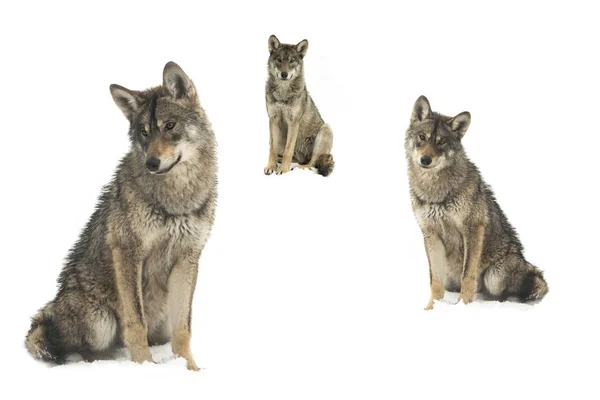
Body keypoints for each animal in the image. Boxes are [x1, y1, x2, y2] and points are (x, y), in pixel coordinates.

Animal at [26, 61, 218, 370]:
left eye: (170, 126)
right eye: (144, 133)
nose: (152, 163)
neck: (176, 198)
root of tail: (52, 308)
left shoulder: (187, 258)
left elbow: (184, 328)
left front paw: (189, 368)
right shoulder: (128, 251)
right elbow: (135, 321)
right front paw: (144, 366)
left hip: (159, 319)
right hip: (99, 320)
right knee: (79, 348)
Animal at [264, 34, 336, 177]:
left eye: (292, 61)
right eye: (279, 60)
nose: (284, 74)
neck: (283, 92)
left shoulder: (293, 123)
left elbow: (288, 150)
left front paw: (283, 170)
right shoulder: (273, 120)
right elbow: (272, 149)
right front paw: (271, 166)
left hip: (326, 129)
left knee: (312, 161)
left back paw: (299, 167)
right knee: (291, 156)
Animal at [404, 96, 548, 310]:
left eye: (441, 142)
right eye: (422, 137)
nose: (425, 159)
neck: (435, 191)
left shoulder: (472, 228)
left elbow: (468, 275)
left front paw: (463, 306)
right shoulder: (430, 234)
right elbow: (434, 281)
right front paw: (431, 308)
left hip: (495, 276)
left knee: (504, 293)